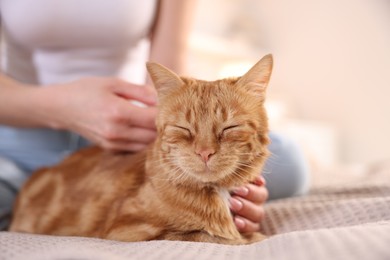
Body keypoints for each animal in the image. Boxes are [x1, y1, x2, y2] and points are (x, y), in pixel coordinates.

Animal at [10, 54, 274, 244]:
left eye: (230, 127)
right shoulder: (128, 232)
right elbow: (209, 236)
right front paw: (248, 237)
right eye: (183, 128)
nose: (204, 152)